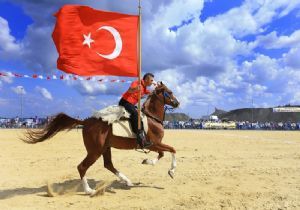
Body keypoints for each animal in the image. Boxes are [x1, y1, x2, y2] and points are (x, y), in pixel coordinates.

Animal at [22, 81, 180, 195]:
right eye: (170, 92)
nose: (177, 103)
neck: (152, 117)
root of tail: (85, 122)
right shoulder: (153, 143)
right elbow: (171, 150)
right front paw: (171, 171)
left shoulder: (155, 144)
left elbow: (163, 153)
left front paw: (148, 161)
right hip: (95, 151)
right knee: (82, 167)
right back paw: (89, 190)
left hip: (105, 148)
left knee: (108, 164)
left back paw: (127, 181)